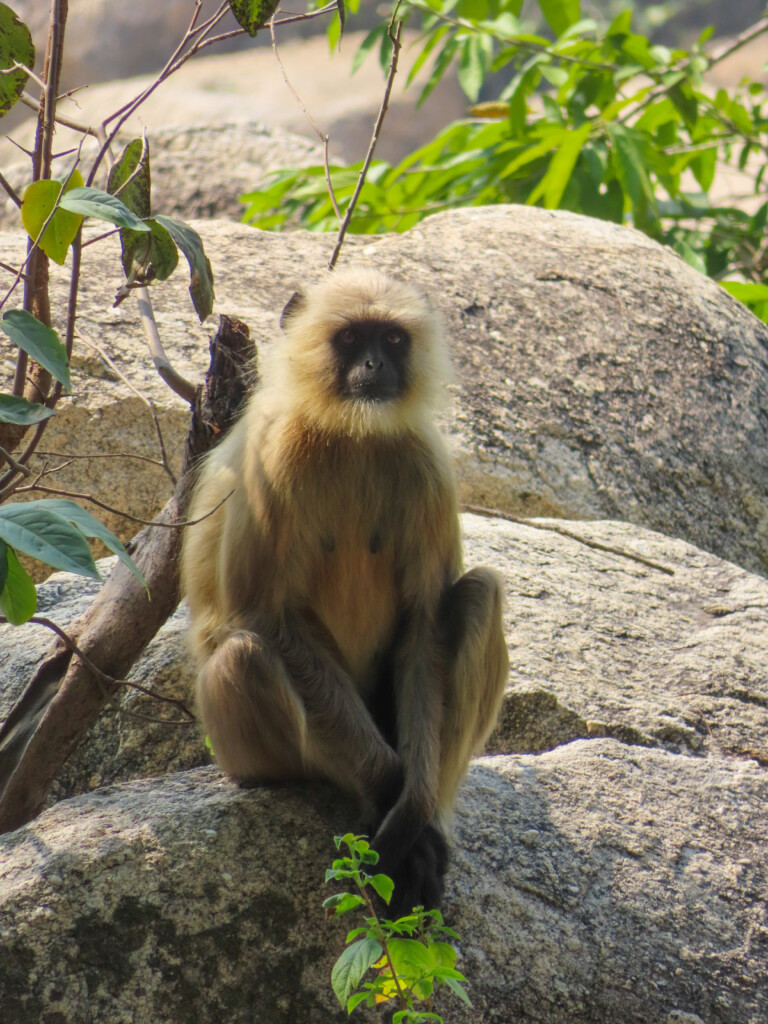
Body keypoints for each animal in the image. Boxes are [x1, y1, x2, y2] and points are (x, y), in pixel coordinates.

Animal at [182, 266, 512, 913]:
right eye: (352, 338)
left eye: (392, 340)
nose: (374, 367)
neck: (353, 433)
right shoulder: (275, 455)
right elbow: (262, 616)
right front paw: (391, 793)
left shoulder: (426, 463)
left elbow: (425, 622)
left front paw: (414, 808)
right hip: (249, 754)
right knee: (244, 654)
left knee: (480, 594)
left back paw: (430, 822)